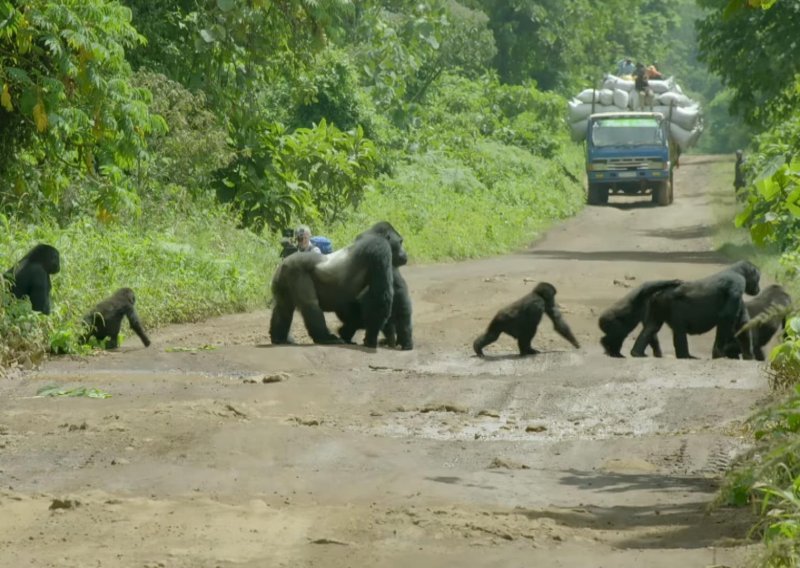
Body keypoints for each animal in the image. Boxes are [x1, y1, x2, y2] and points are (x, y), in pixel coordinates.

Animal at [268, 221, 406, 346]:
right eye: (400, 242)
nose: (405, 254)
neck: (373, 234)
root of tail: (283, 264)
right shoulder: (381, 249)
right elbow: (381, 297)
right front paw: (372, 337)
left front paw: (346, 331)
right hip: (295, 271)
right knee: (311, 305)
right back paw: (325, 338)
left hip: (281, 278)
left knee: (283, 307)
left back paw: (279, 337)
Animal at [632, 258, 764, 358]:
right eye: (757, 278)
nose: (758, 289)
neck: (737, 271)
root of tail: (659, 291)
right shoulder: (737, 282)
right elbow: (726, 317)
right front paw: (718, 352)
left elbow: (742, 323)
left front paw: (749, 355)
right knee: (680, 330)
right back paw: (685, 356)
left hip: (659, 302)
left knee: (652, 327)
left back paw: (637, 352)